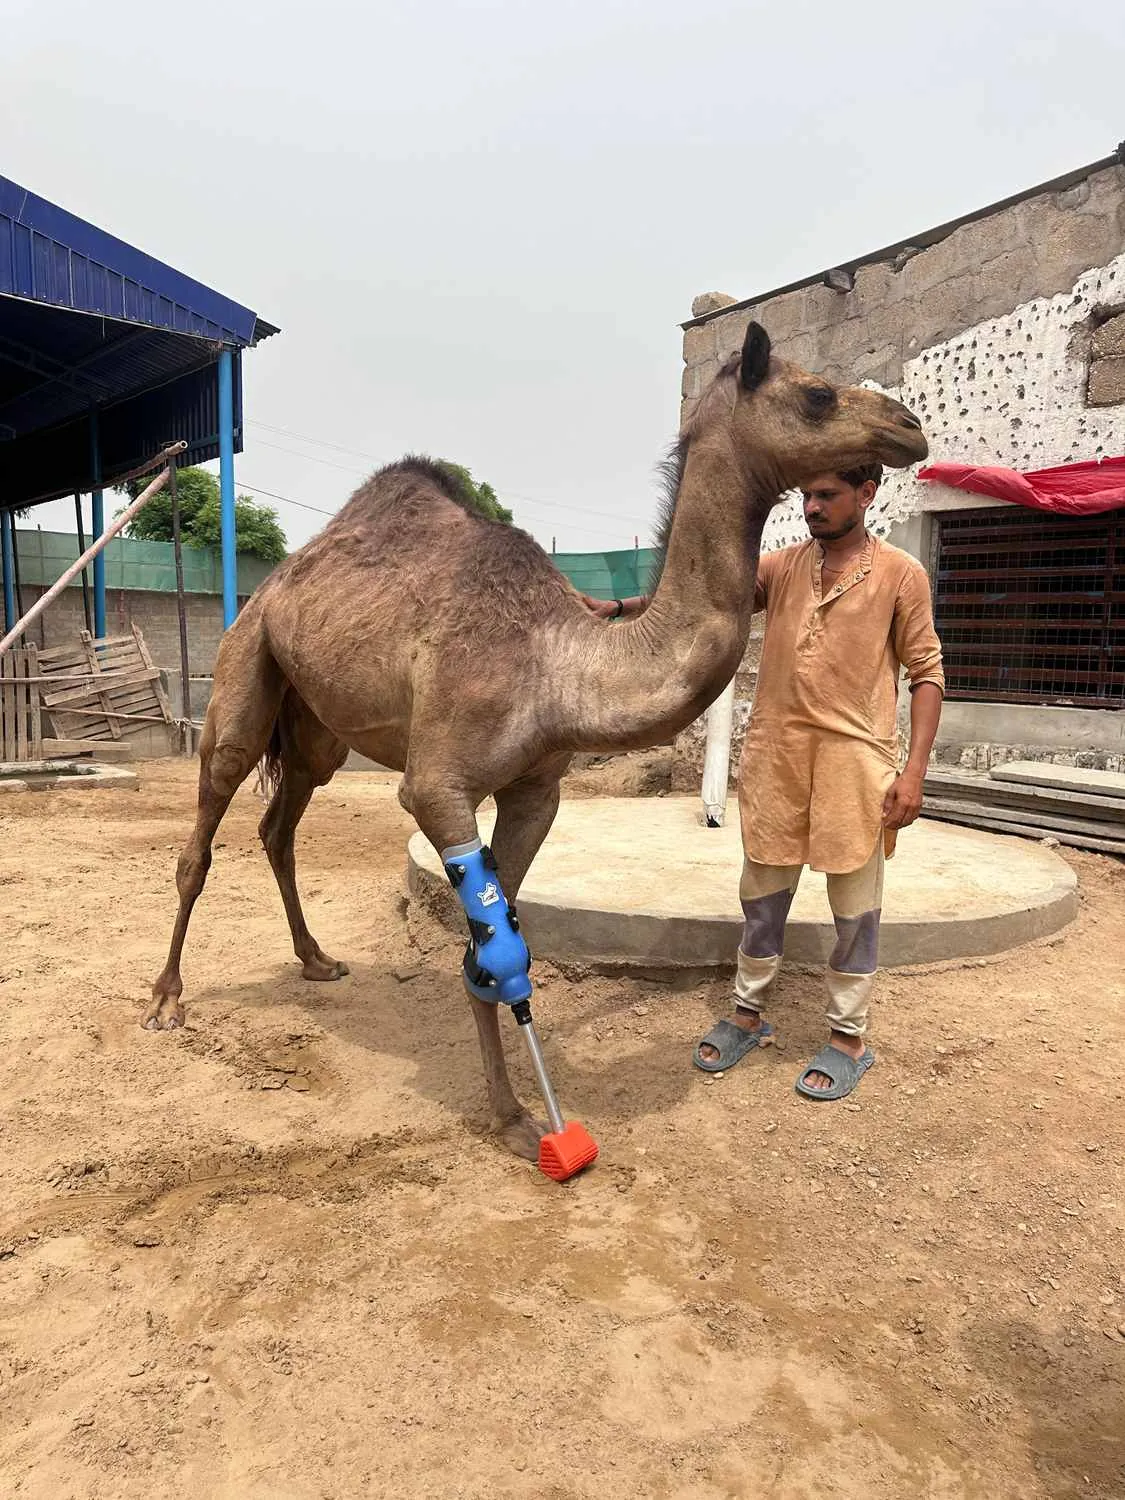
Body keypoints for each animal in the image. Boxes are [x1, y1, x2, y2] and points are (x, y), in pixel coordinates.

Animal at [148, 323, 927, 1160]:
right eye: (817, 394)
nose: (908, 425)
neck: (560, 665)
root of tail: (277, 579)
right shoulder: (437, 786)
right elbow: (496, 947)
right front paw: (521, 1118)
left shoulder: (536, 791)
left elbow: (488, 953)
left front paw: (518, 1114)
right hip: (247, 664)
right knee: (205, 830)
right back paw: (166, 998)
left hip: (316, 728)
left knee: (278, 826)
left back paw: (316, 959)